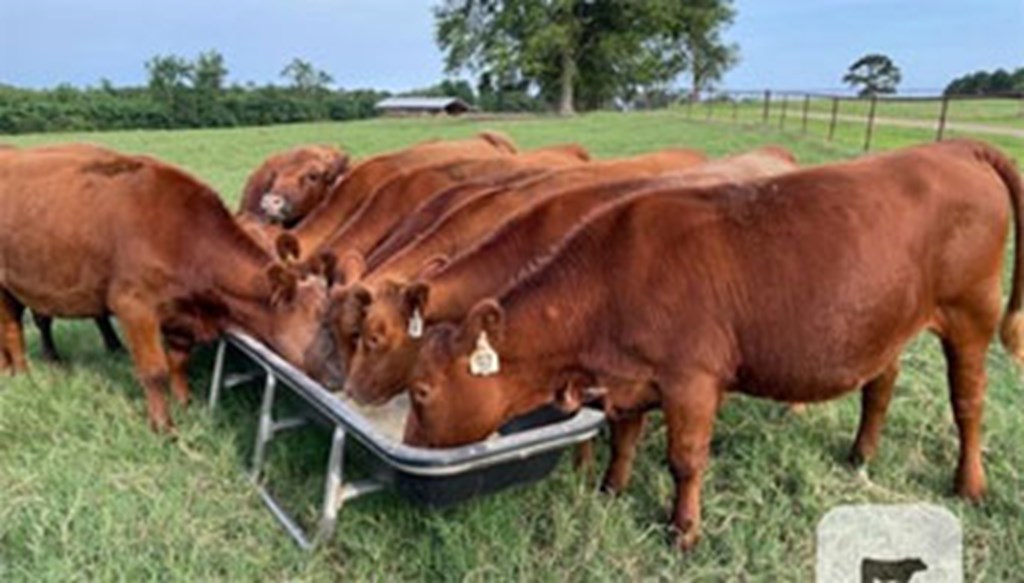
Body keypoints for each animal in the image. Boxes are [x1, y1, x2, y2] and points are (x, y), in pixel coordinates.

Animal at [0, 143, 344, 430]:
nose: (340, 377)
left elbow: (178, 362)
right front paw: (163, 426)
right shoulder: (134, 306)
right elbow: (155, 371)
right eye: (319, 322)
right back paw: (22, 373)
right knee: (13, 329)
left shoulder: (181, 313)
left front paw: (184, 403)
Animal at [403, 139, 1019, 549]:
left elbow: (686, 460)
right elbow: (625, 439)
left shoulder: (691, 381)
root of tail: (953, 148)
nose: (409, 447)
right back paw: (861, 455)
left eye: (421, 390)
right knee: (881, 385)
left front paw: (684, 530)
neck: (612, 275)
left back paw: (969, 484)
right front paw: (610, 489)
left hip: (971, 314)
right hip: (888, 323)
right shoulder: (631, 377)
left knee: (969, 403)